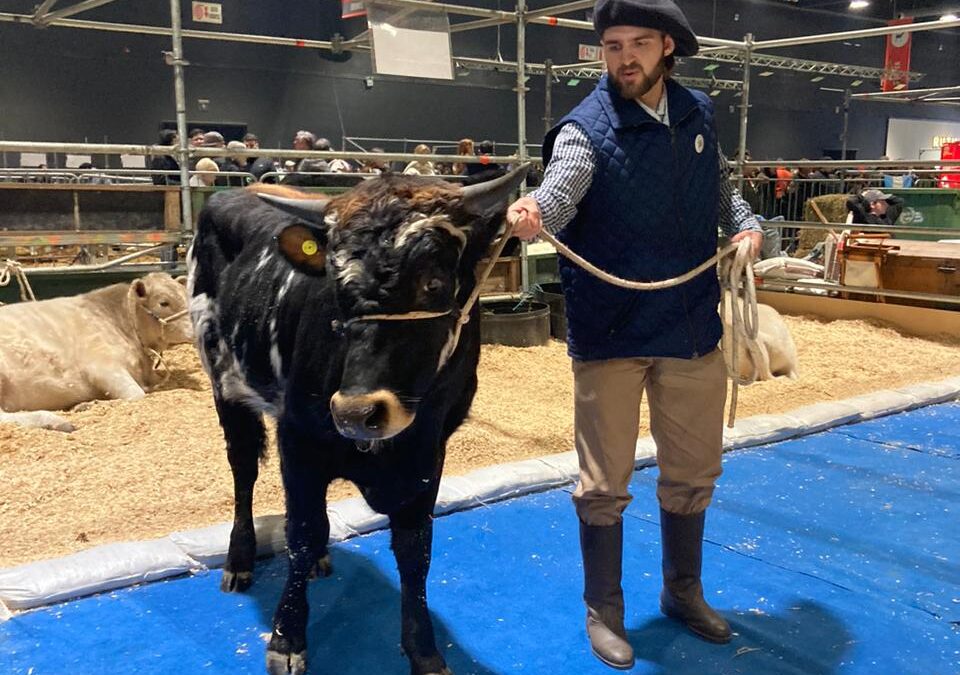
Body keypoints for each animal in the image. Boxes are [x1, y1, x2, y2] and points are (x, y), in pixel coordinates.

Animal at [188, 165, 528, 675]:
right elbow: (301, 531)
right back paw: (239, 559)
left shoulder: (430, 452)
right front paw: (287, 639)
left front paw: (423, 650)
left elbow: (415, 549)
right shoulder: (298, 437)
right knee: (244, 470)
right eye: (335, 284)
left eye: (433, 281)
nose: (355, 412)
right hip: (223, 383)